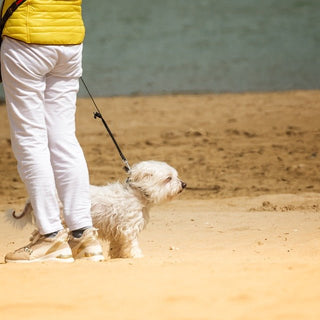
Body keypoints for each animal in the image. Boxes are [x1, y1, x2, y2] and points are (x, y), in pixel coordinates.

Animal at [8, 161, 186, 258]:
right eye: (168, 178)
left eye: (175, 176)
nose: (184, 184)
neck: (136, 194)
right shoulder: (128, 228)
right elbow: (132, 244)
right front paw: (136, 256)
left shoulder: (118, 230)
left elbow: (118, 245)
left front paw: (118, 256)